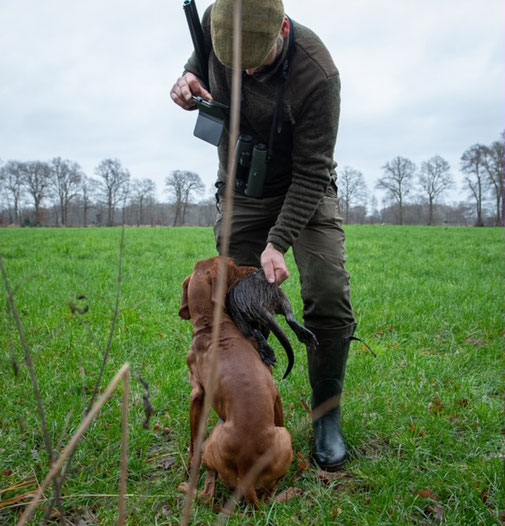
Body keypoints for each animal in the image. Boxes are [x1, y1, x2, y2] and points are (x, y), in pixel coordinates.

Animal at [179, 258, 294, 510]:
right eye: (232, 265)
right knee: (264, 493)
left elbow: (193, 441)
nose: (256, 269)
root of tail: (246, 470)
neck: (213, 327)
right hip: (283, 435)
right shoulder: (275, 392)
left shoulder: (197, 394)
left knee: (210, 494)